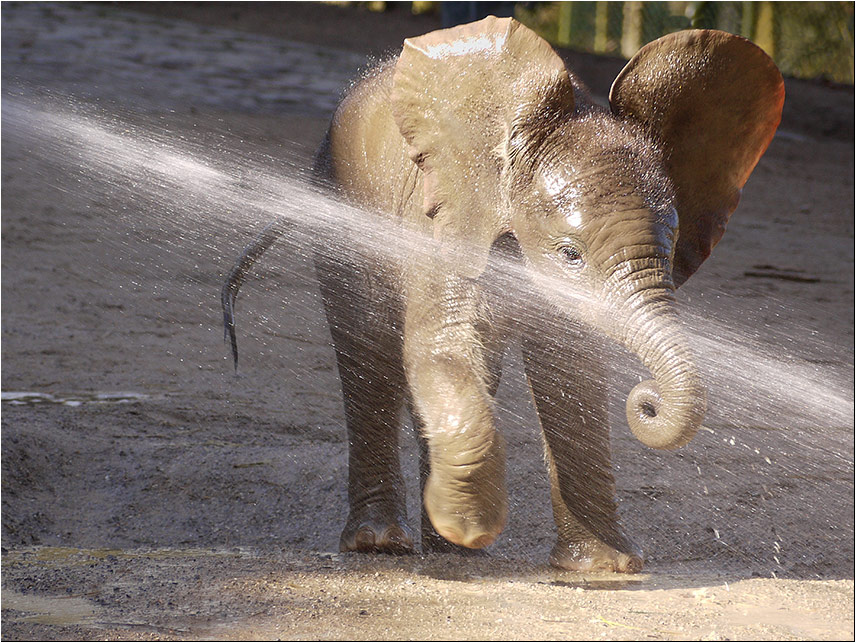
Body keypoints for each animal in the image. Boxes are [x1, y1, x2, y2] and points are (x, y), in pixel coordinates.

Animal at [222, 16, 784, 572]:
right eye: (570, 254)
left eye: (669, 254)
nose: (647, 401)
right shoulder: (442, 221)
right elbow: (440, 345)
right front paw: (472, 524)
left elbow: (571, 373)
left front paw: (604, 569)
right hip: (339, 199)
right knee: (369, 349)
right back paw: (383, 543)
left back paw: (446, 548)